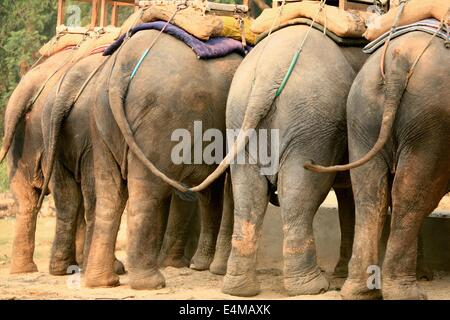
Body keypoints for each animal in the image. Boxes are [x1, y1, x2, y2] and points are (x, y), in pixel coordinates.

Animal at [81, 30, 243, 290]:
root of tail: (120, 69)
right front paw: (215, 269)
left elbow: (213, 191)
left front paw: (202, 266)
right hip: (160, 122)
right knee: (145, 193)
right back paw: (151, 282)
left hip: (101, 119)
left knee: (110, 194)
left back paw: (103, 281)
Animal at [304, 31, 448, 298]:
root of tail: (398, 64)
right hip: (431, 122)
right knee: (413, 194)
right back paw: (406, 294)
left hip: (362, 112)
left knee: (370, 194)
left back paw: (359, 291)